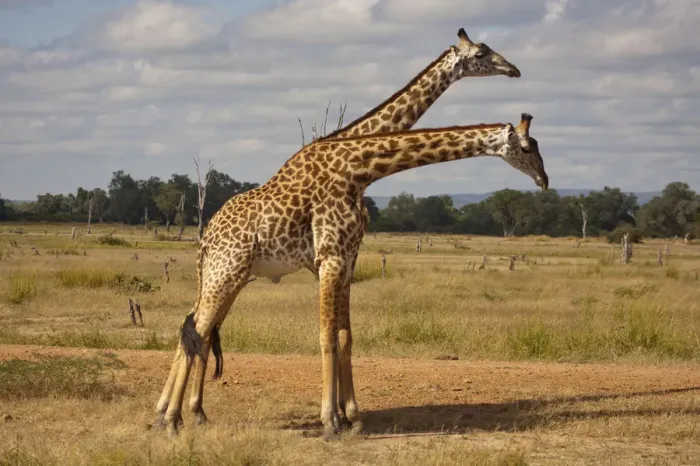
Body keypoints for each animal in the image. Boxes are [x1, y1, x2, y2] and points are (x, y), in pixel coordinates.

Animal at [158, 26, 524, 429]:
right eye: (481, 54)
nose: (513, 69)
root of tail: (206, 237)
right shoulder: (329, 258)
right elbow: (331, 335)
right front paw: (337, 416)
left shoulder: (342, 257)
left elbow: (342, 336)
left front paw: (348, 415)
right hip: (225, 273)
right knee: (198, 329)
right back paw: (172, 415)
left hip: (227, 276)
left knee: (198, 329)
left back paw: (186, 411)